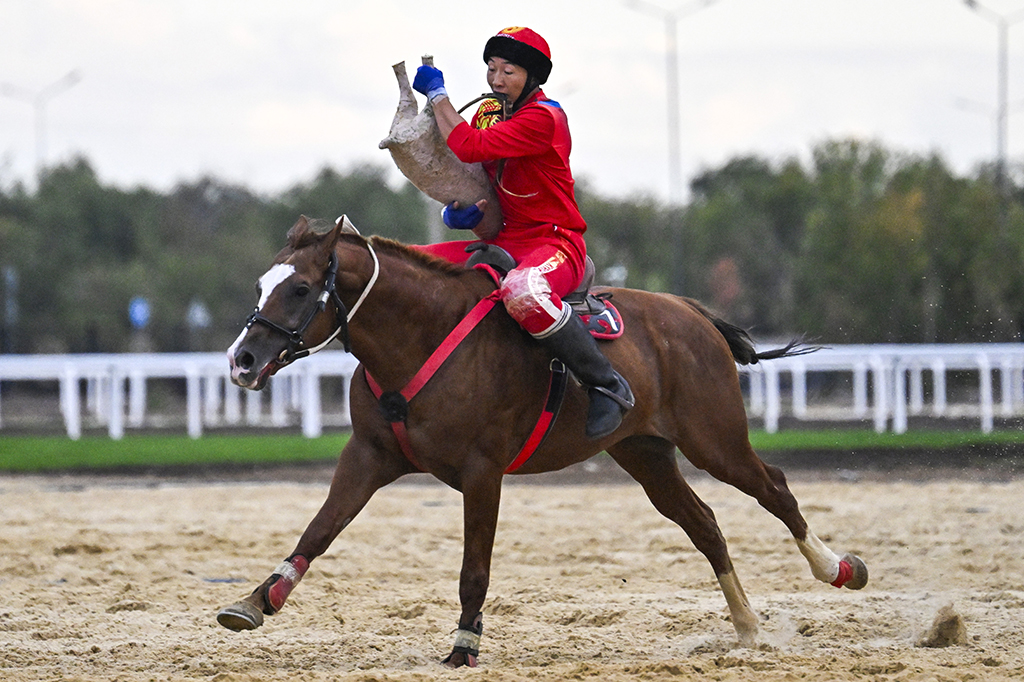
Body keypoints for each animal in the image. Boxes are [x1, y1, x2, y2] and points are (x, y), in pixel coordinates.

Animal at [216, 215, 864, 667]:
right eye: (261, 284)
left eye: (301, 289)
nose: (241, 360)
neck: (420, 336)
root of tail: (688, 311)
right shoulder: (369, 456)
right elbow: (318, 530)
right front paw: (258, 598)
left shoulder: (482, 472)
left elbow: (474, 568)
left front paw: (464, 645)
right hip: (645, 453)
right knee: (703, 523)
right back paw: (748, 627)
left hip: (716, 440)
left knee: (774, 488)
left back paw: (836, 568)